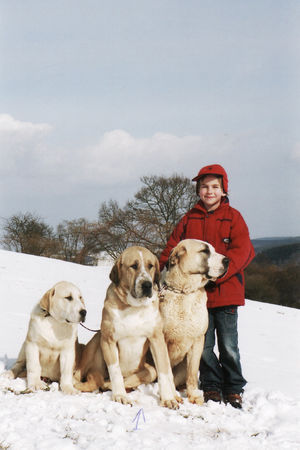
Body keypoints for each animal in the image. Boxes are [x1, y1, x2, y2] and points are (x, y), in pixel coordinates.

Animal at [75, 246, 179, 408]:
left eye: (151, 265)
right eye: (134, 266)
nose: (147, 285)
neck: (134, 307)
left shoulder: (157, 339)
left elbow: (163, 371)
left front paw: (168, 398)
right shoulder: (108, 340)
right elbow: (115, 370)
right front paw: (120, 396)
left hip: (149, 370)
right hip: (96, 341)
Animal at [159, 239, 227, 404]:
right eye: (204, 251)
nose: (227, 260)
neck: (184, 292)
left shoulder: (197, 340)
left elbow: (192, 371)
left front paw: (194, 395)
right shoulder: (163, 340)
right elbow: (167, 372)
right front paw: (173, 396)